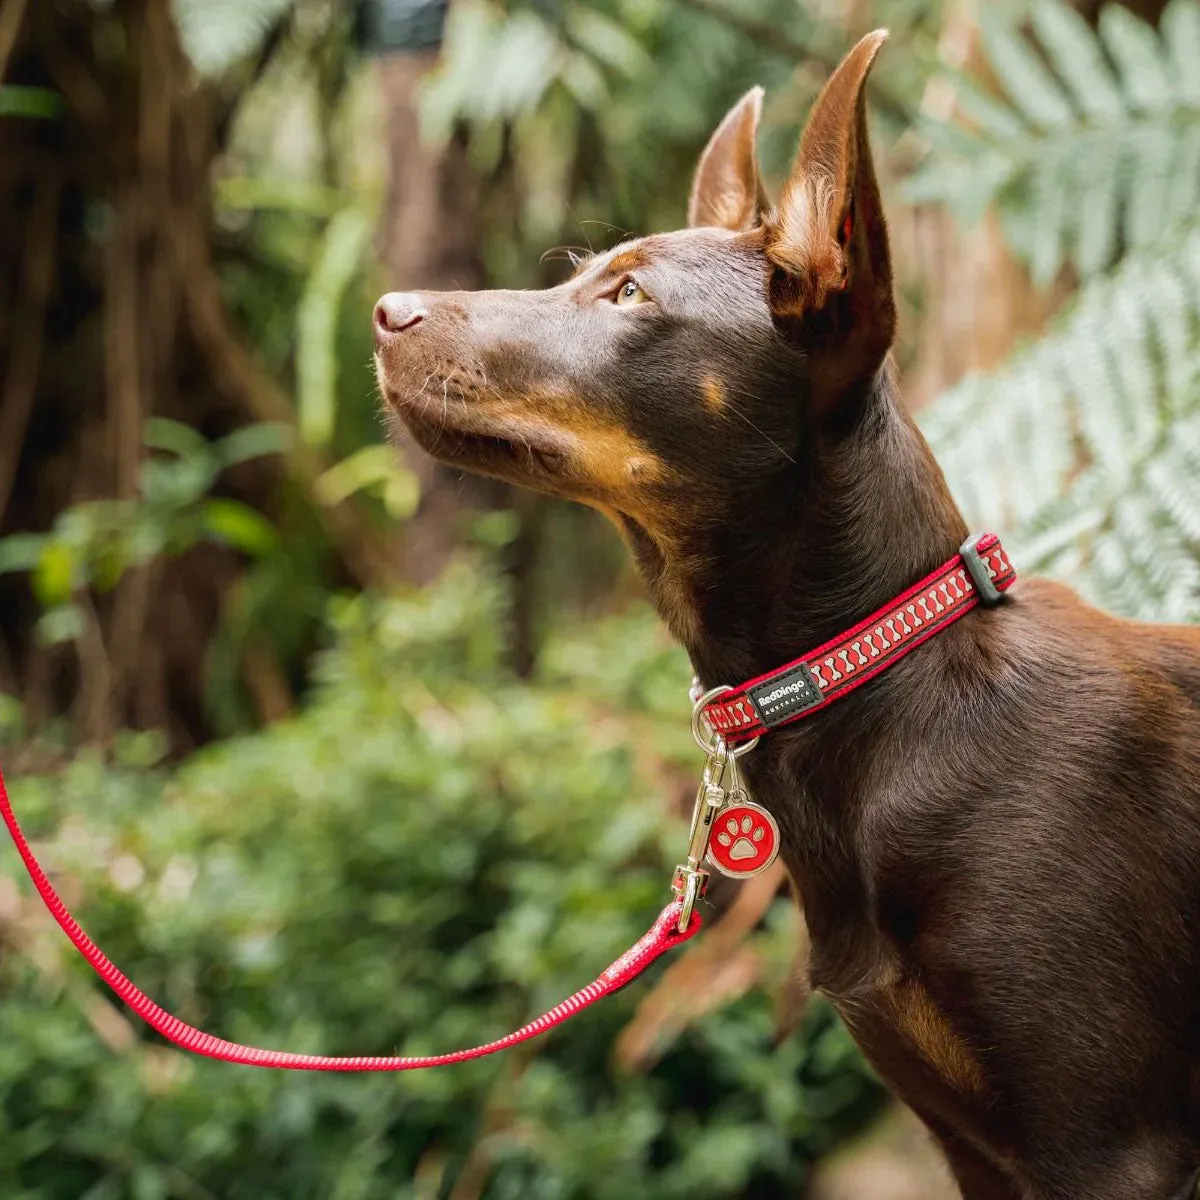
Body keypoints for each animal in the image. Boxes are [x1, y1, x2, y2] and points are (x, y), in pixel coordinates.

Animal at [372, 28, 1200, 1200]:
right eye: (581, 273)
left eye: (631, 297)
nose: (384, 312)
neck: (883, 684)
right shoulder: (973, 1143)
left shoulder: (1112, 1146)